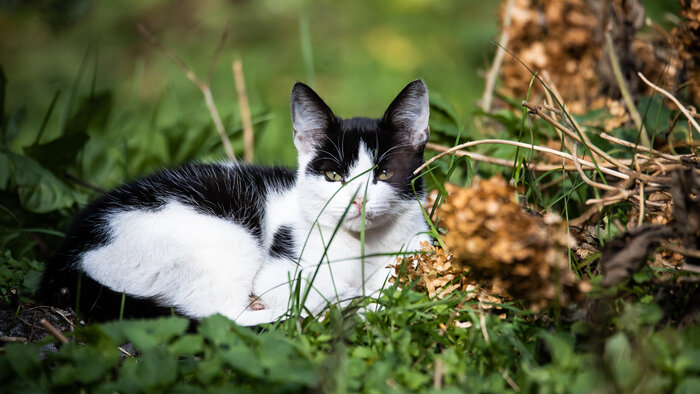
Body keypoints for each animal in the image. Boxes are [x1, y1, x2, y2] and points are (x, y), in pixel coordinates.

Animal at [41, 80, 432, 326]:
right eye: (334, 176)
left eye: (384, 172)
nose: (358, 200)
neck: (364, 246)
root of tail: (66, 259)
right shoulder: (282, 271)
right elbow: (313, 292)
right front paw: (350, 299)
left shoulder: (416, 242)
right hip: (223, 238)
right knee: (222, 316)